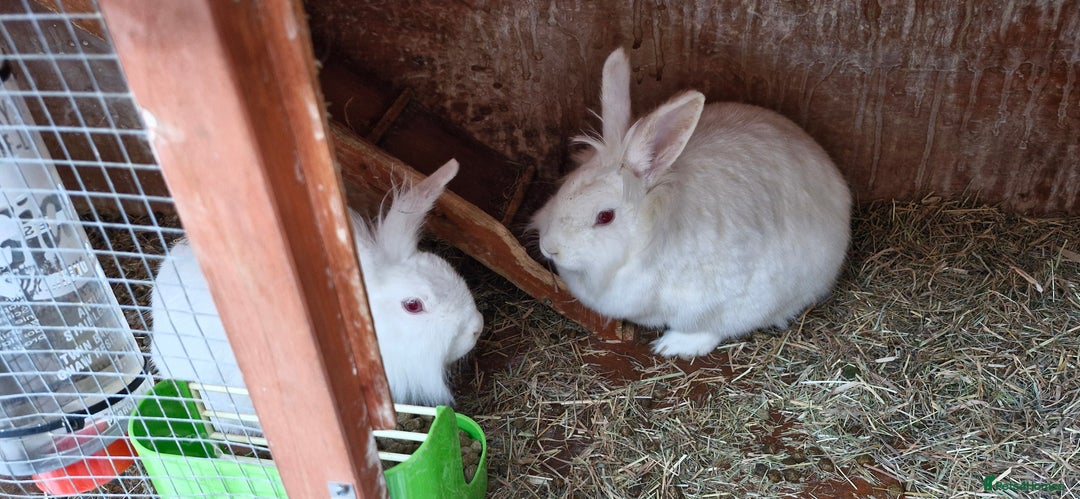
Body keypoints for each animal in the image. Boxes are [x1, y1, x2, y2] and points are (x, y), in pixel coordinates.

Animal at [530, 48, 852, 359]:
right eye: (564, 188)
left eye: (605, 216)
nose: (550, 247)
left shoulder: (731, 299)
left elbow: (711, 329)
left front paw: (672, 346)